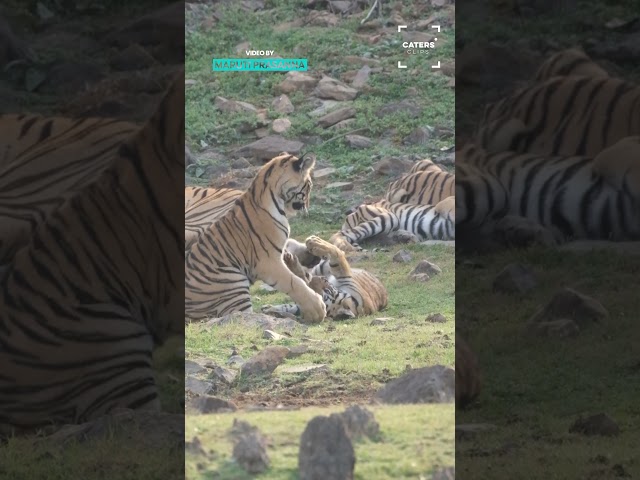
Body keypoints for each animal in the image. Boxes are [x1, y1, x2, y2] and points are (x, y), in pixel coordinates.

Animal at [184, 153, 327, 324]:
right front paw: (317, 309)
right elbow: (293, 282)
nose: (307, 207)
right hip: (233, 282)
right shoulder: (267, 261)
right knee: (244, 315)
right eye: (309, 185)